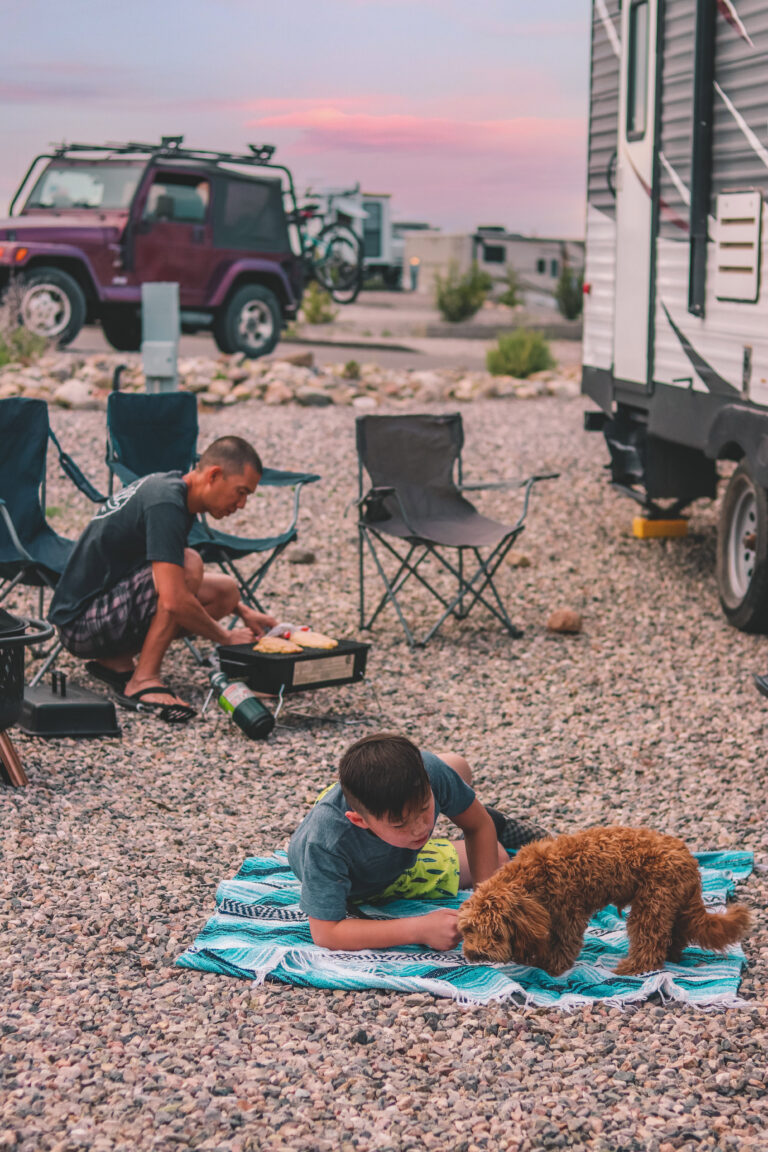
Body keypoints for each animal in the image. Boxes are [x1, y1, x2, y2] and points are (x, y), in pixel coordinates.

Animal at [455, 824, 750, 976]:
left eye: (495, 932)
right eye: (468, 930)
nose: (477, 954)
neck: (530, 879)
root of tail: (691, 861)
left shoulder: (567, 914)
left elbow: (563, 945)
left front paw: (549, 967)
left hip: (653, 902)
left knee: (651, 943)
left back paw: (633, 968)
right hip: (671, 903)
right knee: (675, 935)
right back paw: (673, 956)